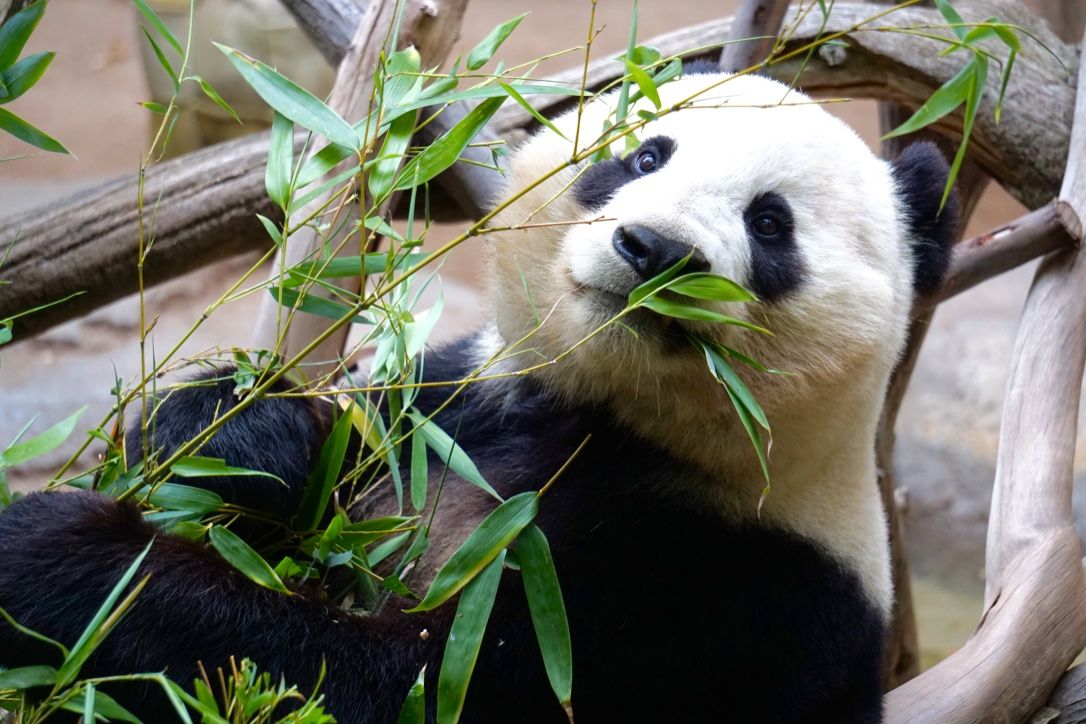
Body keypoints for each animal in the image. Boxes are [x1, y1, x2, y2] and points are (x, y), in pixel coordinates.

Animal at [0, 70, 956, 723]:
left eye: (770, 223)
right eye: (645, 153)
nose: (653, 250)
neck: (612, 419)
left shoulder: (732, 593)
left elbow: (396, 686)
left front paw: (59, 558)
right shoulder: (463, 403)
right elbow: (337, 439)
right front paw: (246, 441)